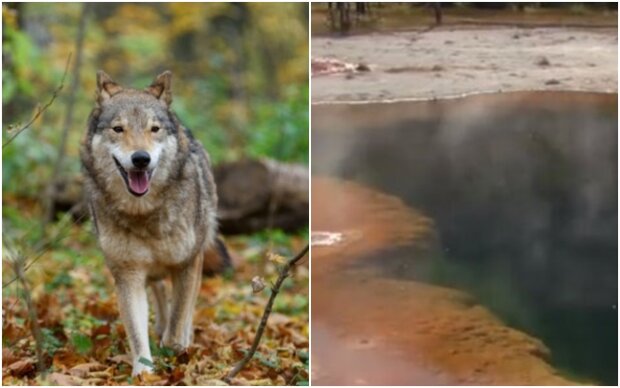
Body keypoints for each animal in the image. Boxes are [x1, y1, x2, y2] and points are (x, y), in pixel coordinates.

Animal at [81, 70, 218, 376]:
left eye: (154, 129)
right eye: (118, 129)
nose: (141, 159)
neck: (144, 214)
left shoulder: (187, 264)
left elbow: (179, 321)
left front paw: (177, 351)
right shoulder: (127, 274)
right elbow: (136, 331)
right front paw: (143, 373)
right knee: (158, 290)